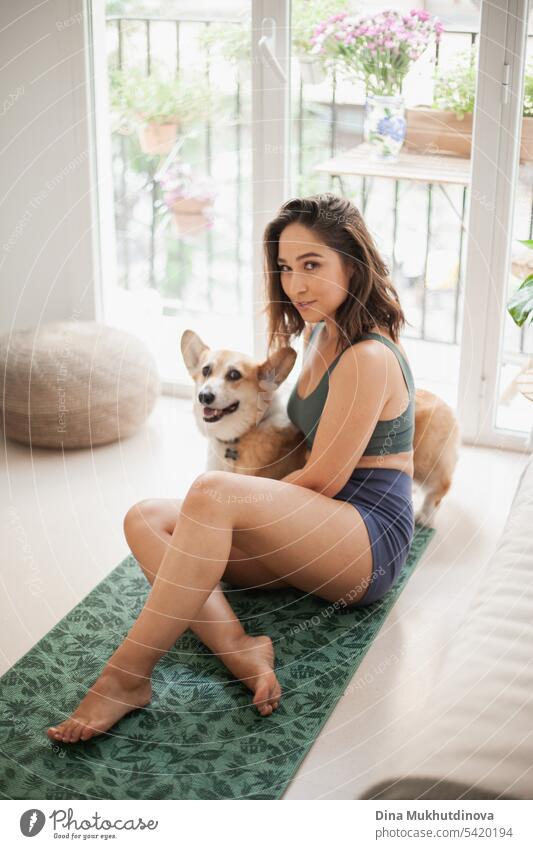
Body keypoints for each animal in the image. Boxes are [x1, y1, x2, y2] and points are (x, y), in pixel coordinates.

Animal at [182, 330, 458, 524]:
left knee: (440, 486)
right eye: (205, 370)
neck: (241, 436)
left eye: (234, 375)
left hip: (425, 462)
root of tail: (448, 405)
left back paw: (424, 516)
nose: (204, 396)